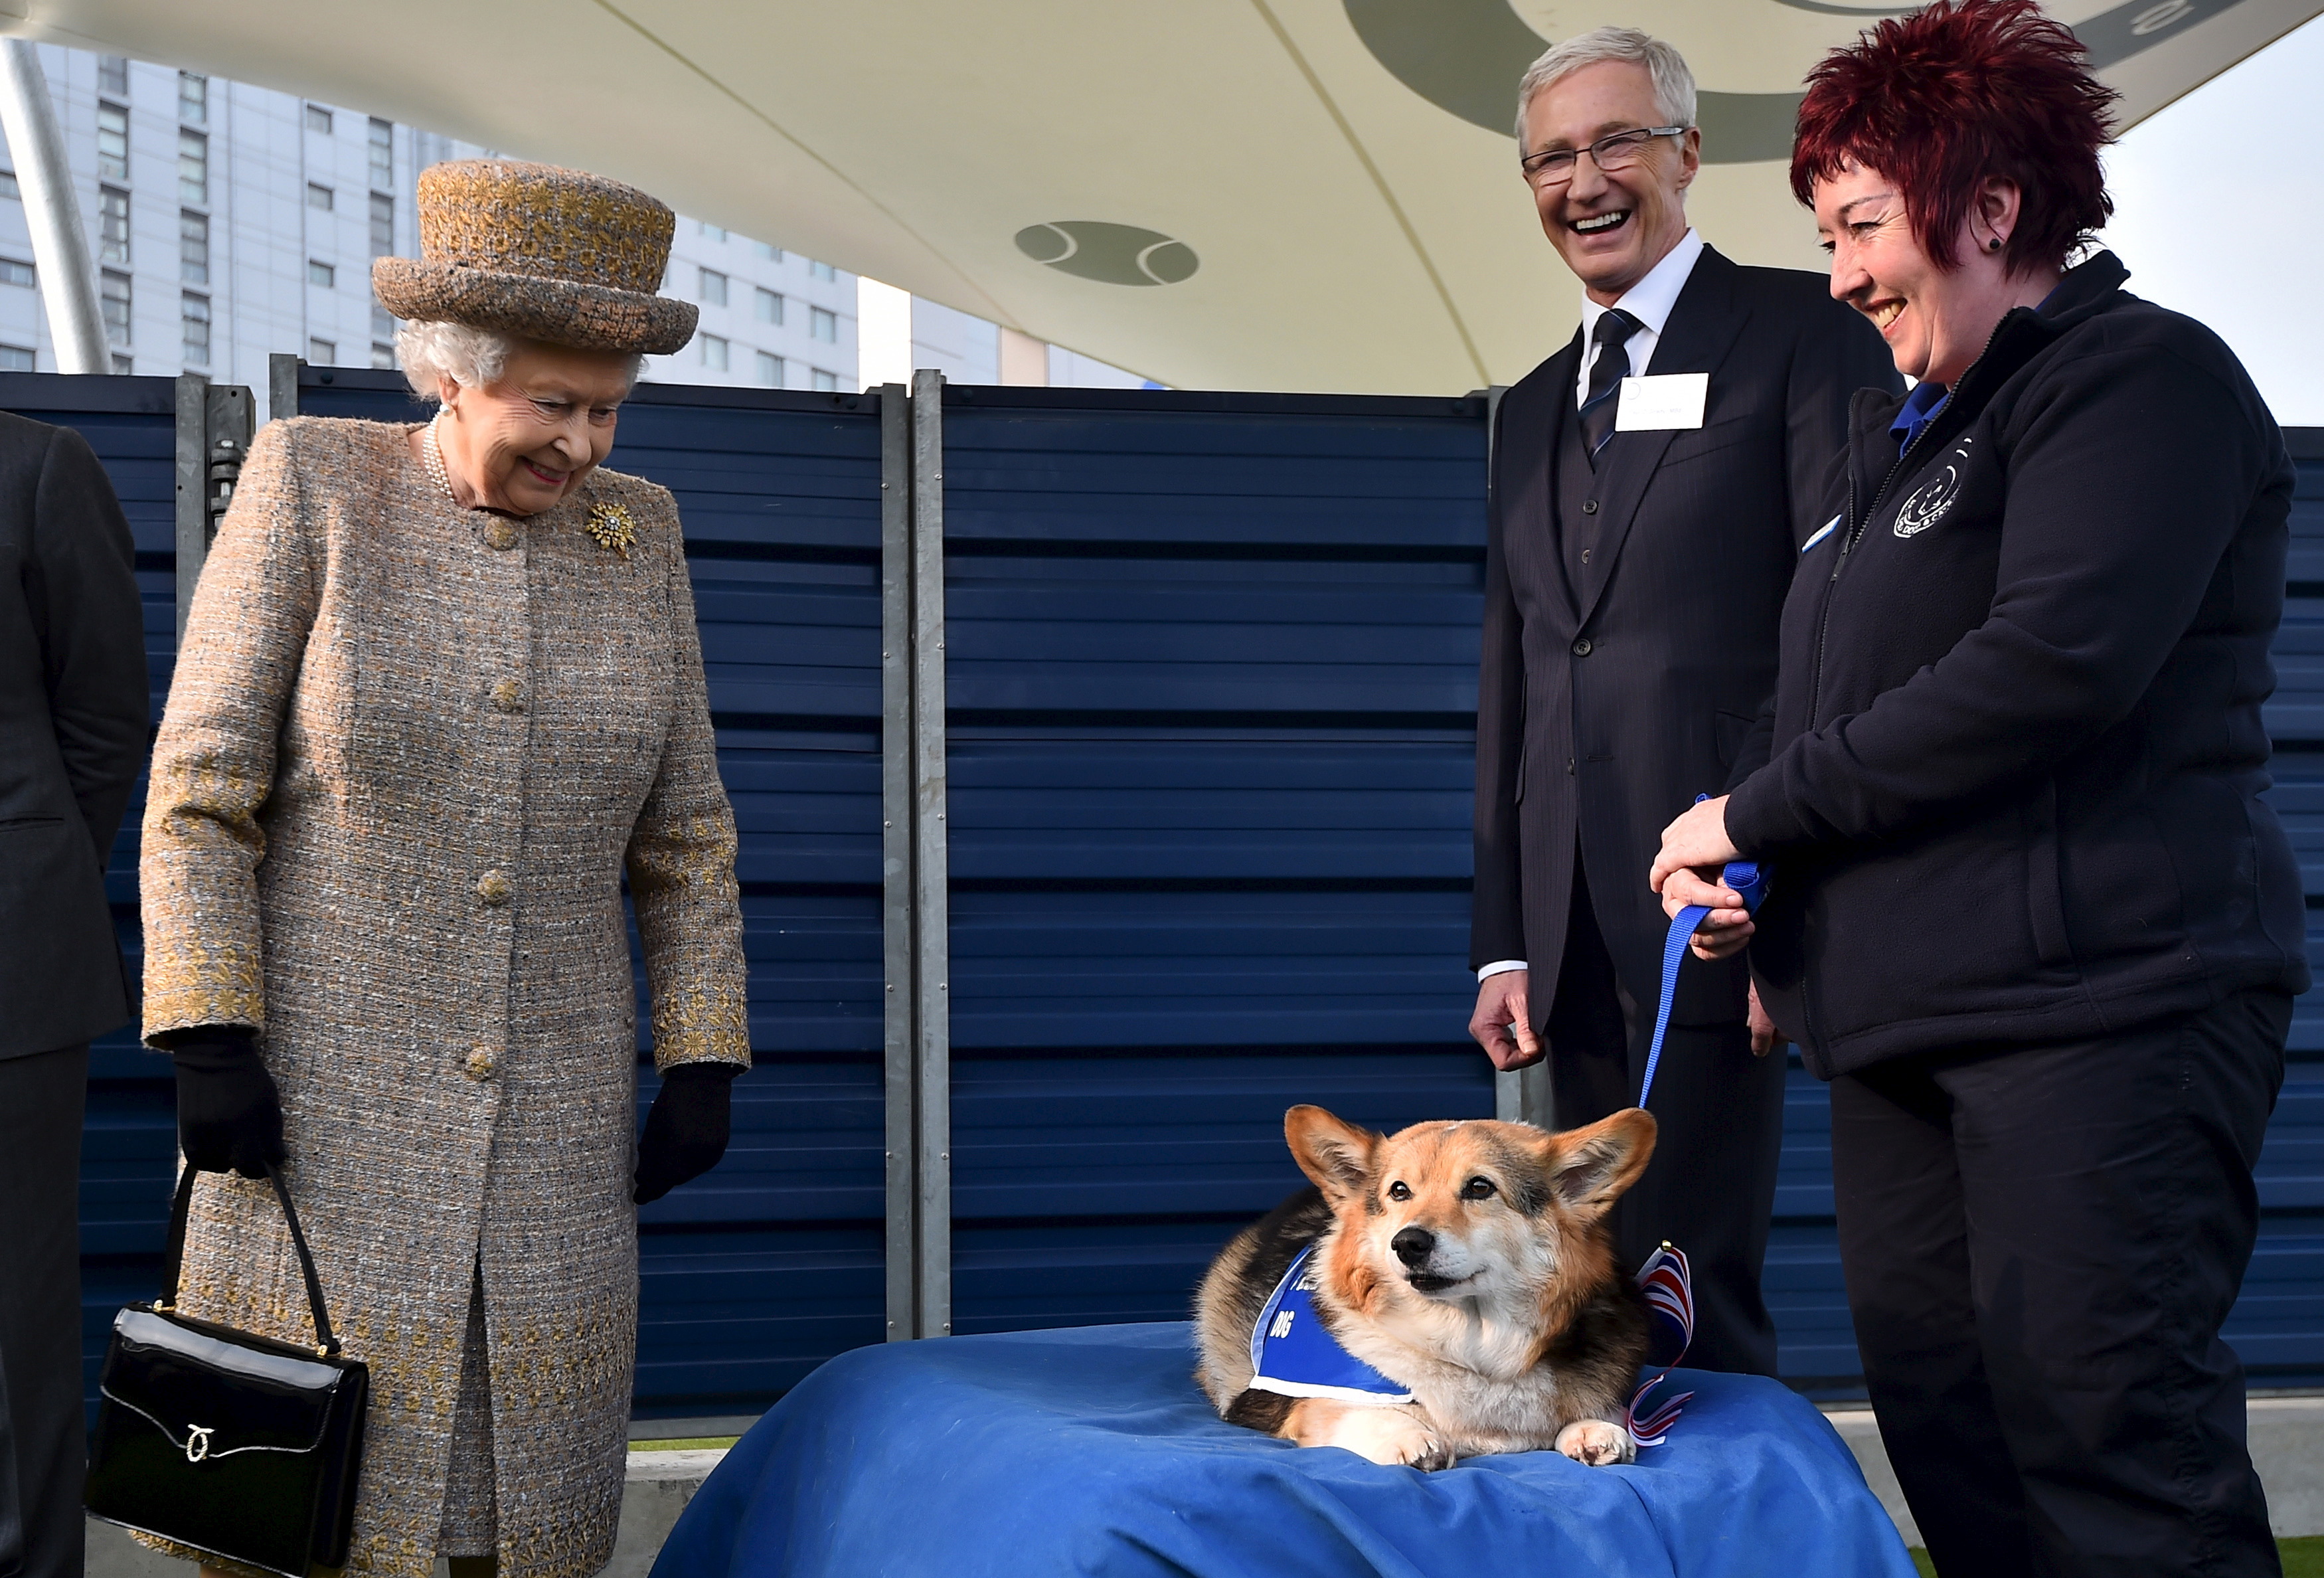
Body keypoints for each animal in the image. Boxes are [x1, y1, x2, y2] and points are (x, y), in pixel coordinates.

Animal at [1199, 1106, 1655, 1478]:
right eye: (1399, 1190)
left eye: (1480, 1187)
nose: (1408, 1243)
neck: (1471, 1344)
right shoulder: (1288, 1399)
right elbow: (1342, 1407)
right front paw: (1407, 1436)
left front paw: (1595, 1427)